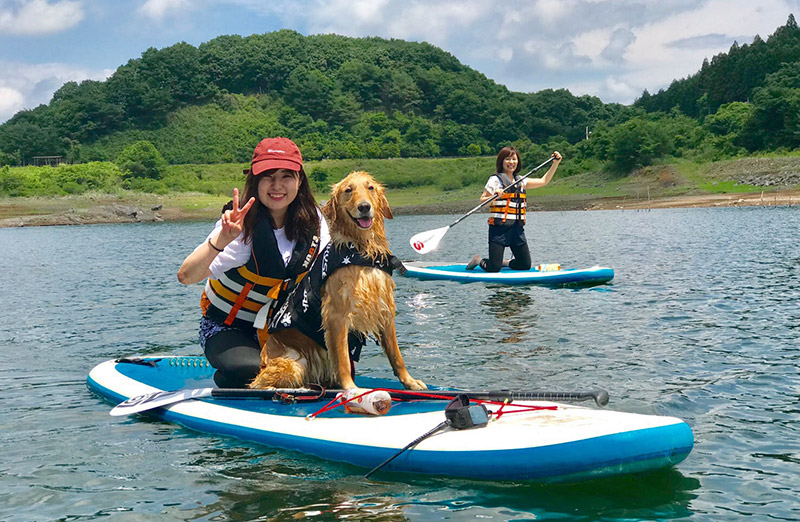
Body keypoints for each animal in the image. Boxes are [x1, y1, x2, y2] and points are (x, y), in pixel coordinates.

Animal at [250, 171, 428, 390]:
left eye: (370, 188)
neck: (361, 249)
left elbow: (396, 355)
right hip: (293, 364)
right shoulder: (336, 314)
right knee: (259, 383)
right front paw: (350, 388)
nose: (364, 207)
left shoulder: (384, 307)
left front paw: (409, 381)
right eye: (348, 190)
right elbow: (343, 358)